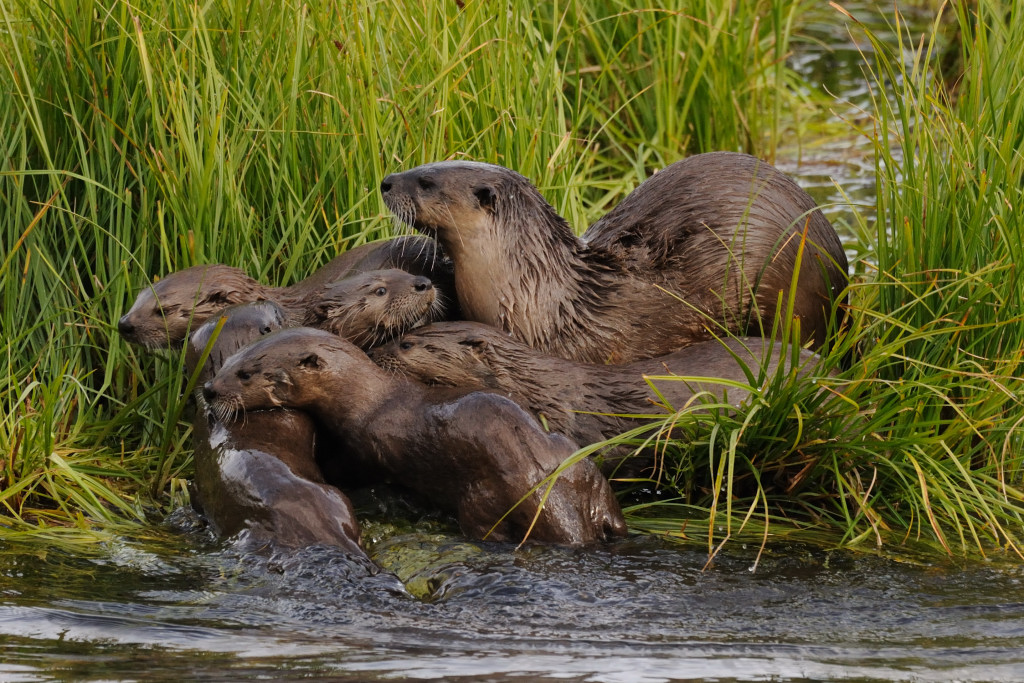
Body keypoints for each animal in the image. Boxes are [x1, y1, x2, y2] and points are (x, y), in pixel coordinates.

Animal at [202, 327, 627, 546]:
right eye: (227, 362)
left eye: (246, 374)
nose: (209, 390)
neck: (368, 400)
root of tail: (543, 489)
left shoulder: (363, 448)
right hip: (583, 468)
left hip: (484, 499)